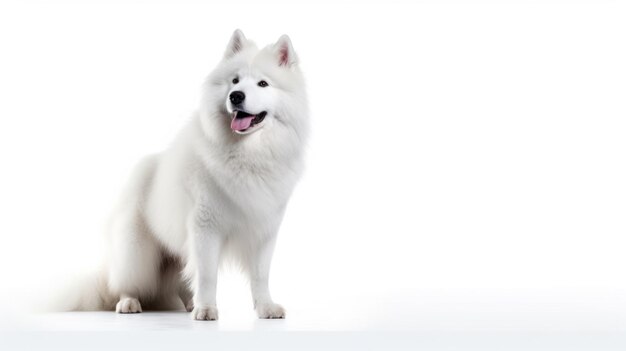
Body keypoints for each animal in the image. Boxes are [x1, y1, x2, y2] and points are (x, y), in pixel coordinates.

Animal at [67, 30, 308, 322]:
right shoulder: (205, 227)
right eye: (235, 81)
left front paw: (265, 308)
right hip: (137, 252)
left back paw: (189, 304)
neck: (250, 153)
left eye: (263, 83)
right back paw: (129, 302)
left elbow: (260, 276)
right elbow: (207, 275)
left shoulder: (264, 231)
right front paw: (206, 310)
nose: (236, 96)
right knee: (126, 282)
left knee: (180, 283)